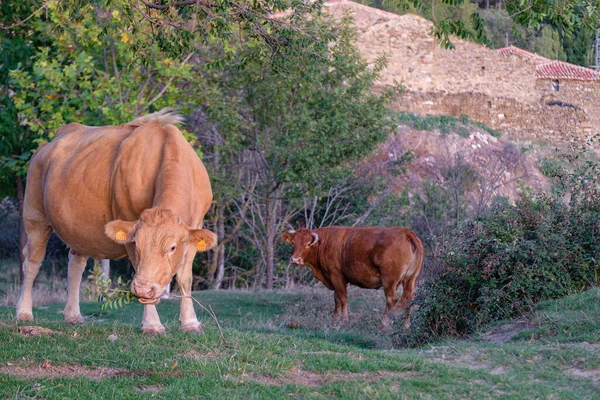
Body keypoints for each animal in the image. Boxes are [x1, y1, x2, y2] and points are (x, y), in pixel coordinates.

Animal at [15, 108, 218, 334]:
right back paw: (23, 312)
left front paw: (191, 323)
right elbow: (140, 268)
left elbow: (185, 278)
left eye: (172, 248)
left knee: (75, 263)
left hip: (77, 229)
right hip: (34, 215)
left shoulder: (196, 225)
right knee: (32, 262)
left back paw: (73, 315)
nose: (144, 288)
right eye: (137, 244)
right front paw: (152, 324)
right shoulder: (129, 223)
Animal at [284, 227, 424, 326]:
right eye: (293, 243)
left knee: (391, 300)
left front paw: (344, 320)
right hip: (411, 279)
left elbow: (343, 298)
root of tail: (405, 232)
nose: (295, 259)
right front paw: (335, 319)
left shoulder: (336, 275)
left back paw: (384, 325)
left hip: (389, 280)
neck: (324, 243)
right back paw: (406, 327)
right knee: (409, 299)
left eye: (308, 244)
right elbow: (337, 298)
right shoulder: (338, 279)